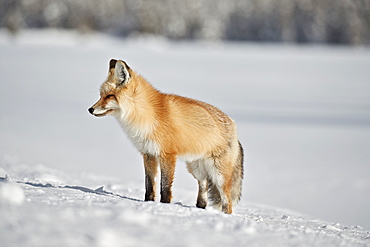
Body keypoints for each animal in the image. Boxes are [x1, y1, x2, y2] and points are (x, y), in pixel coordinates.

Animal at [88, 59, 244, 214]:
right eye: (101, 95)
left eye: (109, 96)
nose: (90, 109)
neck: (146, 116)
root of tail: (233, 125)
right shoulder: (148, 154)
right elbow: (150, 187)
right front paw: (149, 203)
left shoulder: (167, 155)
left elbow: (165, 188)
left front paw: (164, 207)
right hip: (197, 169)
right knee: (203, 191)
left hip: (218, 175)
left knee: (227, 201)